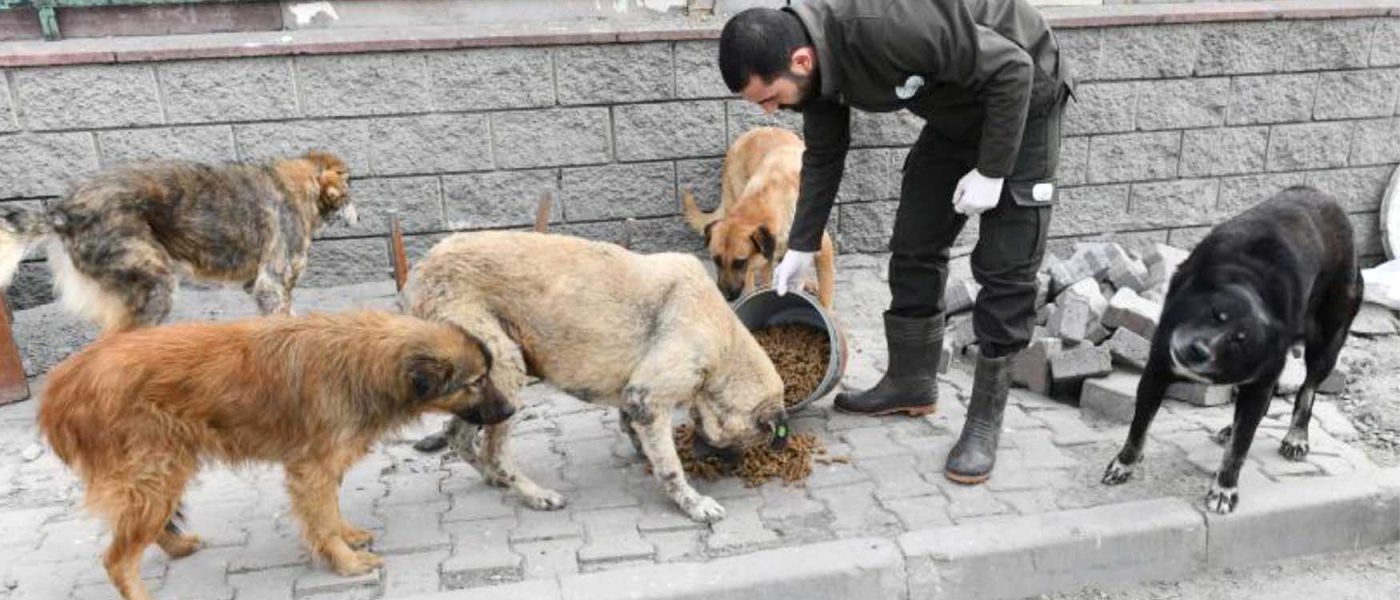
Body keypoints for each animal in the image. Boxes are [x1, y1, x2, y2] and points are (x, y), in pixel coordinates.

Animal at [0, 149, 355, 334]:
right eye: (350, 185)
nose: (359, 215)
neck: (302, 185)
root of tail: (64, 211)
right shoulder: (271, 285)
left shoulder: (259, 286)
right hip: (154, 285)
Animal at [36, 310, 509, 598]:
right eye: (476, 381)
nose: (509, 411)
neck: (364, 359)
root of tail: (61, 384)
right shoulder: (311, 467)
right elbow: (321, 519)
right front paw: (346, 560)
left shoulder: (323, 465)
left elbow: (329, 510)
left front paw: (348, 535)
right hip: (153, 473)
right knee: (117, 560)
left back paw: (178, 546)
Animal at [406, 232, 789, 520]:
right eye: (751, 440)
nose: (733, 467)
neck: (725, 342)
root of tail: (421, 271)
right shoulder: (648, 396)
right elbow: (670, 466)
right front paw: (691, 501)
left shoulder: (636, 398)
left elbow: (635, 429)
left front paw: (644, 453)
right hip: (505, 369)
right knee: (495, 453)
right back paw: (534, 494)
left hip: (483, 388)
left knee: (458, 436)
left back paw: (492, 477)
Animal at [683, 124, 834, 306]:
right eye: (716, 260)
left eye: (739, 262)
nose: (725, 297)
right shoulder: (764, 258)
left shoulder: (824, 249)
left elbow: (825, 296)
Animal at [1097, 184, 1360, 511]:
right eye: (1215, 314)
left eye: (1239, 340)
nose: (1198, 350)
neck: (1253, 286)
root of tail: (1325, 198)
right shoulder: (1157, 368)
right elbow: (1138, 428)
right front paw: (1124, 464)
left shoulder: (1260, 378)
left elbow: (1239, 449)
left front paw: (1224, 489)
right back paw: (1232, 429)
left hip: (1326, 341)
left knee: (1308, 388)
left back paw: (1296, 436)